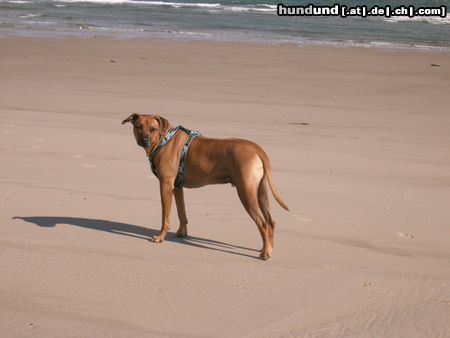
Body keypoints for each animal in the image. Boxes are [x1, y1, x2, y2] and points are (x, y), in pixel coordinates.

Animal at [121, 113, 288, 258]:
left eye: (153, 129)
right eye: (138, 126)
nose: (144, 140)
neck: (164, 140)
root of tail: (256, 148)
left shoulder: (166, 186)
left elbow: (165, 217)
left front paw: (161, 237)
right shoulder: (177, 187)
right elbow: (182, 213)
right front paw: (182, 232)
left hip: (246, 193)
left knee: (263, 224)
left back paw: (265, 253)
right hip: (261, 191)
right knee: (270, 221)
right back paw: (267, 247)